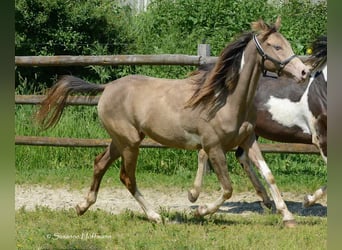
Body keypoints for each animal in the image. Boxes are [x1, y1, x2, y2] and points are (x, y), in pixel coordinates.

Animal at [35, 17, 310, 227]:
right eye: (275, 46)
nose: (304, 72)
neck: (227, 100)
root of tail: (108, 88)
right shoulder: (213, 147)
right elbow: (227, 188)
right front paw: (199, 210)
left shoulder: (249, 139)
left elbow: (269, 176)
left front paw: (288, 217)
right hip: (130, 143)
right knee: (127, 177)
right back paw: (155, 216)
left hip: (121, 141)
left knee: (100, 163)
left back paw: (82, 206)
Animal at [190, 35, 326, 209]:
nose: (304, 72)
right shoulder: (322, 139)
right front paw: (308, 200)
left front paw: (307, 200)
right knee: (205, 152)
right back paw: (194, 194)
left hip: (247, 131)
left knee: (240, 156)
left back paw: (266, 199)